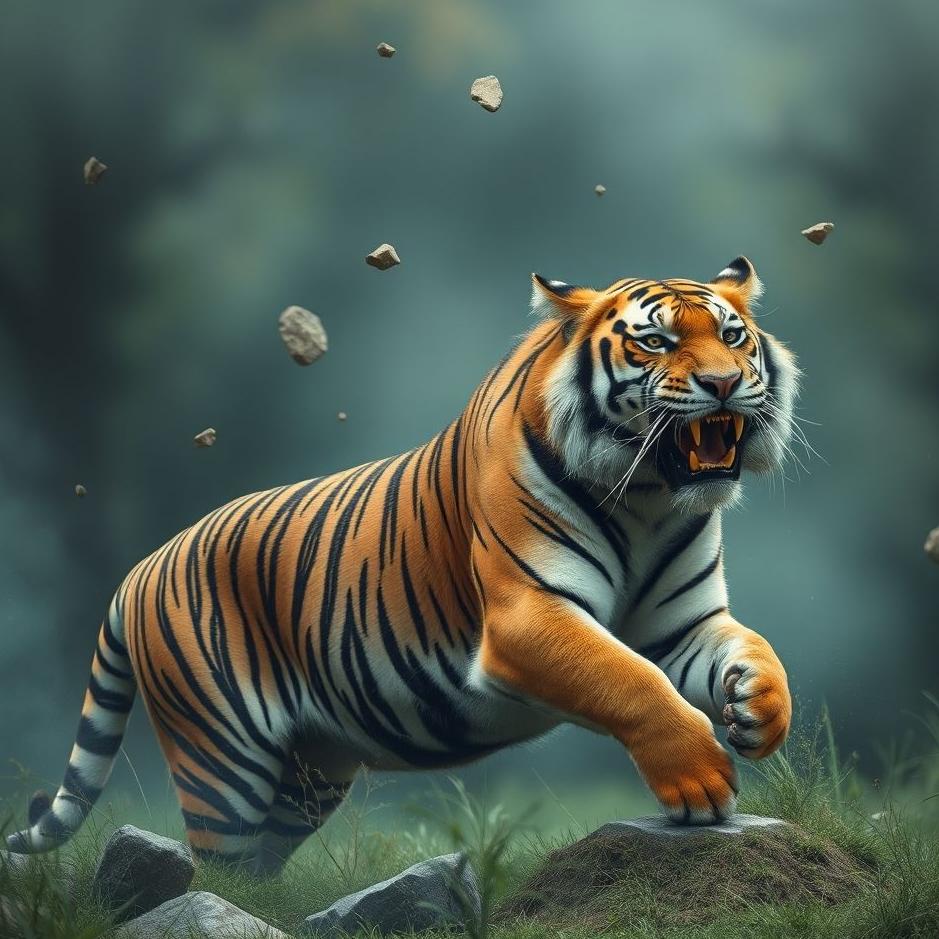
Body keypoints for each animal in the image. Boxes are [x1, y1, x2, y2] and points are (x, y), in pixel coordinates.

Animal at [7, 256, 797, 874]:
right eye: (657, 342)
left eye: (732, 336)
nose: (724, 383)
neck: (647, 497)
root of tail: (142, 565)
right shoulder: (526, 615)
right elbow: (626, 679)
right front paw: (699, 780)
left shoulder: (684, 624)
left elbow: (755, 649)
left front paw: (757, 711)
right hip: (222, 762)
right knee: (220, 869)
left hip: (309, 773)